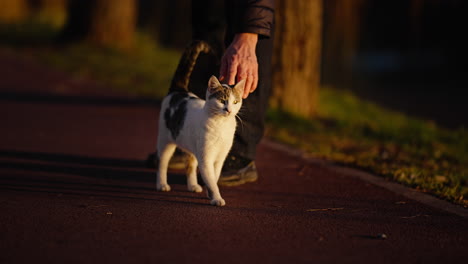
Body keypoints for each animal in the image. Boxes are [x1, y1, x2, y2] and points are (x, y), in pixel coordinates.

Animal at [156, 41, 245, 206]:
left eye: (235, 102)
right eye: (222, 101)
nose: (229, 110)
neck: (221, 126)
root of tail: (179, 90)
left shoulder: (220, 157)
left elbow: (214, 177)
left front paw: (211, 194)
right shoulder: (206, 158)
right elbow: (210, 179)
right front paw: (216, 198)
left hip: (191, 148)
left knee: (190, 166)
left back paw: (192, 185)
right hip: (165, 141)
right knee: (162, 162)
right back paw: (162, 184)